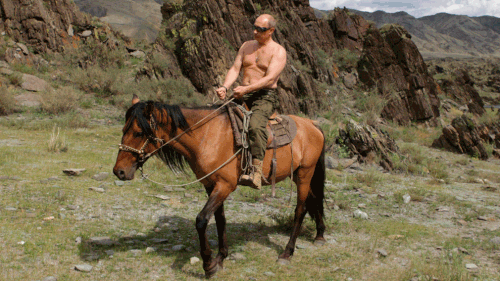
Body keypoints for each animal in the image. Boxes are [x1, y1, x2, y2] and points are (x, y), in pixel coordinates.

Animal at [113, 95, 326, 276]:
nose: (119, 171)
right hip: (298, 174)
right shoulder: (211, 185)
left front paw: (208, 264)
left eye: (139, 132)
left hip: (305, 173)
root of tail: (312, 125)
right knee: (315, 199)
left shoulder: (225, 186)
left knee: (300, 210)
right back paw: (320, 235)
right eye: (123, 130)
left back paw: (287, 253)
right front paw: (221, 257)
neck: (206, 137)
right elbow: (220, 219)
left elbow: (201, 220)